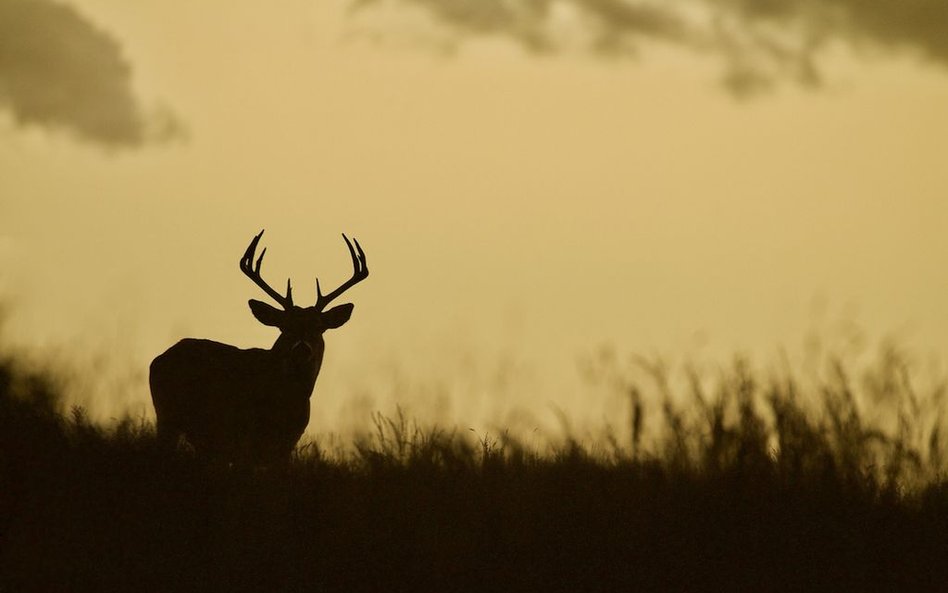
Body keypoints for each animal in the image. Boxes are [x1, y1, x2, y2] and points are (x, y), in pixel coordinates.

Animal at [150, 230, 368, 462]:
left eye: (318, 327)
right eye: (285, 326)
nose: (301, 348)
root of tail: (159, 358)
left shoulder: (287, 444)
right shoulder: (244, 439)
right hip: (167, 416)